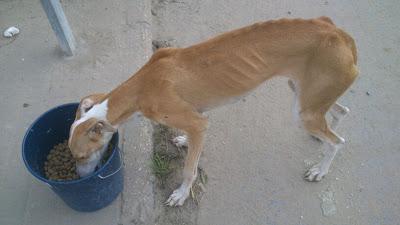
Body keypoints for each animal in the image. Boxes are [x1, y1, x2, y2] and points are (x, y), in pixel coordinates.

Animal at [69, 16, 360, 207]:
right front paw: (183, 141)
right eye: (72, 155)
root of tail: (339, 32)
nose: (79, 178)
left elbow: (189, 169)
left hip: (304, 109)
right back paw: (321, 139)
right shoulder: (197, 117)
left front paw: (181, 194)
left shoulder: (198, 123)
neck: (143, 86)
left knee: (339, 141)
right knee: (342, 112)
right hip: (303, 93)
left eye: (82, 155)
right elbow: (191, 140)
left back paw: (320, 169)